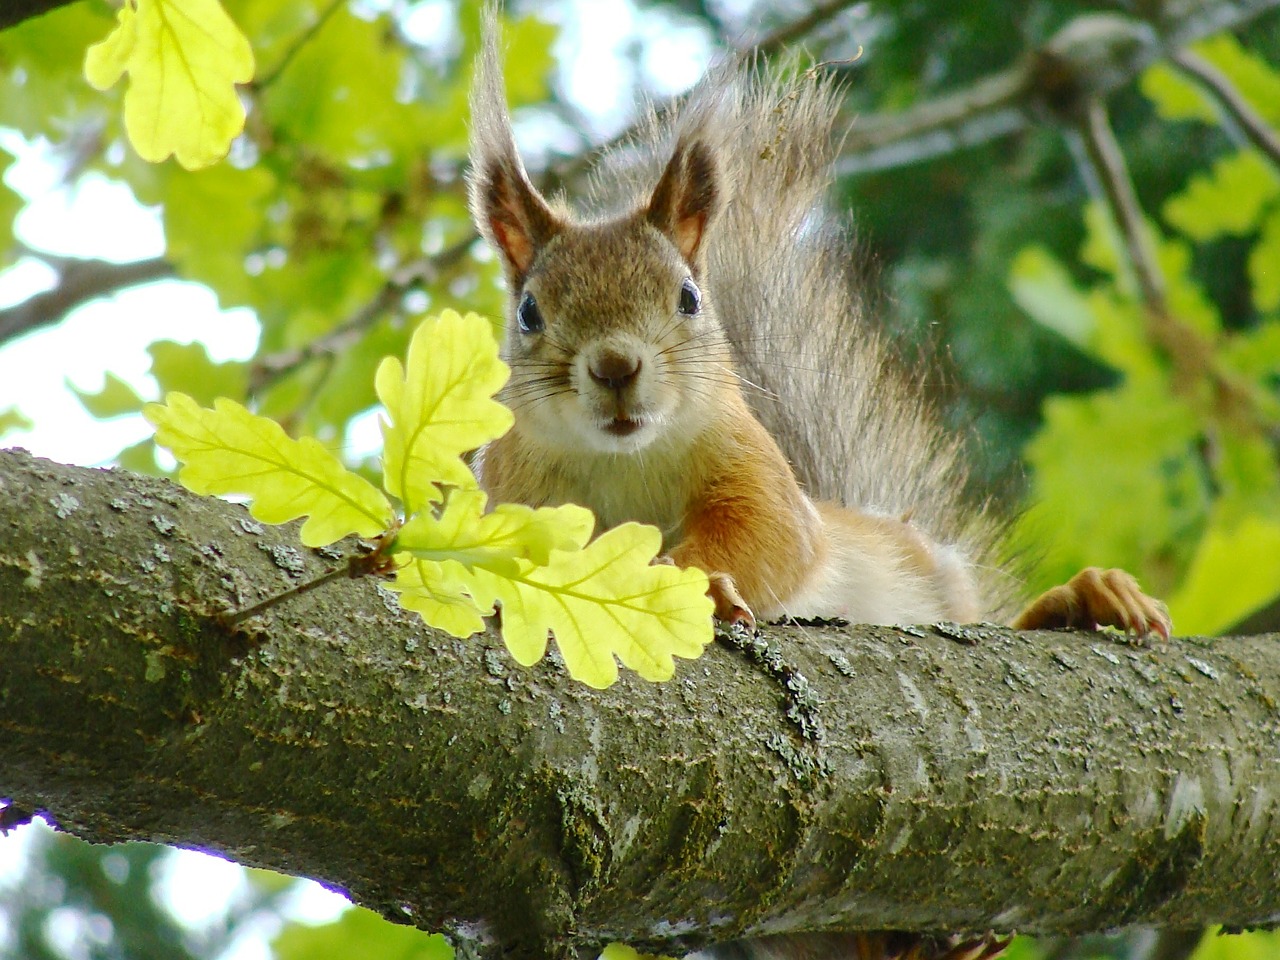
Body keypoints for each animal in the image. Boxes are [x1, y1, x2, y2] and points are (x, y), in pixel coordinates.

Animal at [468, 28, 1172, 647]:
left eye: (689, 297)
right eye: (528, 312)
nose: (615, 366)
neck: (621, 461)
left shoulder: (751, 463)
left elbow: (769, 535)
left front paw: (695, 584)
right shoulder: (507, 491)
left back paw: (1084, 599)